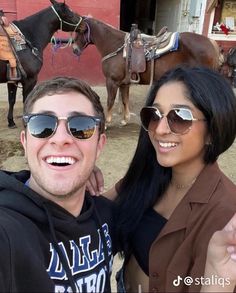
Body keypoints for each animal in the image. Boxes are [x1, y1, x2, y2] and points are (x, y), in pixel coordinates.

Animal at [73, 16, 221, 125]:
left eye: (80, 30)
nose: (74, 49)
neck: (115, 46)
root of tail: (211, 42)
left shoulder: (112, 81)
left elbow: (110, 101)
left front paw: (107, 123)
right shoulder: (124, 83)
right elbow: (125, 100)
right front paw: (125, 120)